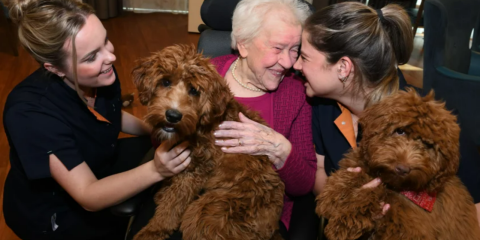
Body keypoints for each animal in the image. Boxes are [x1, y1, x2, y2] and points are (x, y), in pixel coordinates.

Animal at [131, 44, 284, 239]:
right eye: (165, 82)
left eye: (194, 90)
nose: (173, 116)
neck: (200, 125)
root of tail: (273, 229)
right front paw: (163, 191)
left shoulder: (196, 170)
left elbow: (173, 204)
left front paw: (154, 229)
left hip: (207, 213)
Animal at [316, 89, 478, 240]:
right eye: (400, 131)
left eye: (428, 145)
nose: (402, 169)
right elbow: (356, 175)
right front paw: (332, 196)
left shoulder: (407, 231)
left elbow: (377, 192)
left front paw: (345, 221)